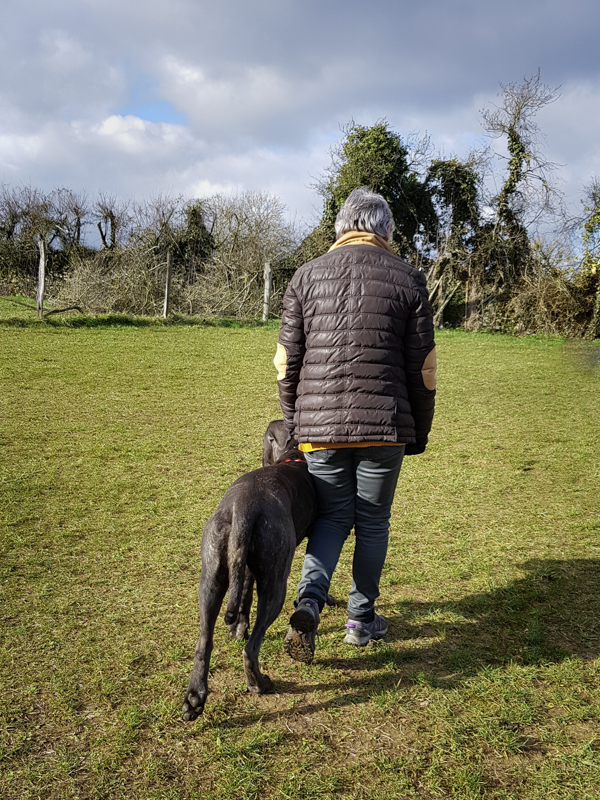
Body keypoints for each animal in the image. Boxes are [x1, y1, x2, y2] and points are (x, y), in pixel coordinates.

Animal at [182, 422, 314, 720]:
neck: (293, 455)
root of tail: (245, 506)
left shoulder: (245, 567)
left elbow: (244, 593)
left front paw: (237, 627)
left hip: (211, 578)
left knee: (203, 642)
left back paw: (195, 698)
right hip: (276, 587)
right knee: (251, 649)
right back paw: (259, 684)